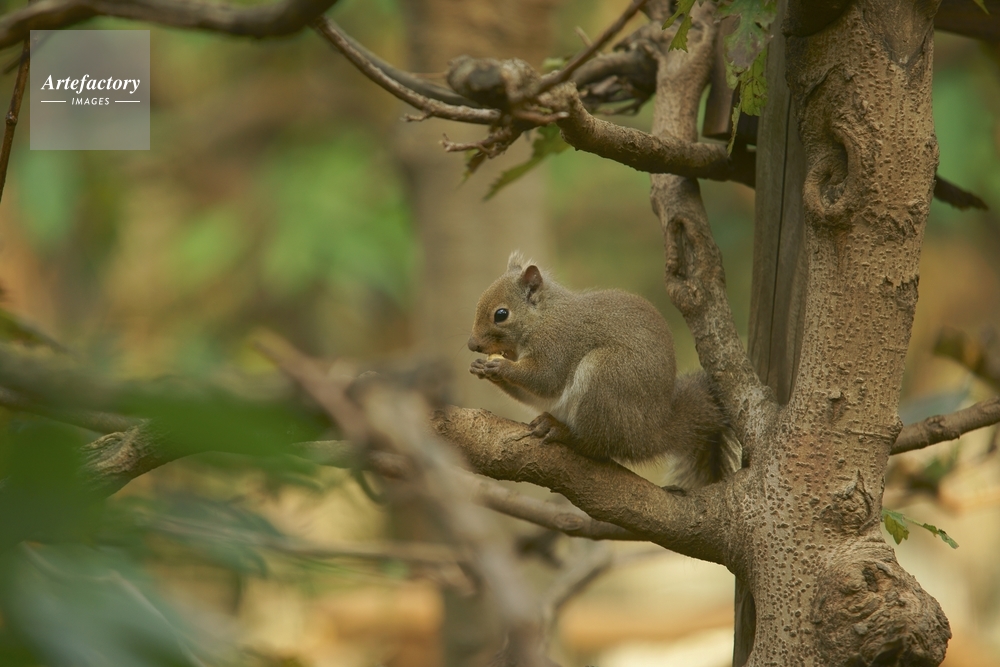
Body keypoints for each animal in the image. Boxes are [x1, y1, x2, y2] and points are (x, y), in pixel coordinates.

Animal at [467, 251, 736, 487]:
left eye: (501, 314)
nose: (472, 345)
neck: (543, 317)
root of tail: (649, 433)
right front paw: (481, 367)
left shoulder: (557, 344)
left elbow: (545, 379)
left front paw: (501, 366)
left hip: (604, 380)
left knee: (594, 448)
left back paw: (561, 432)